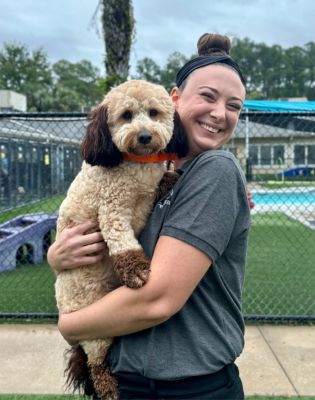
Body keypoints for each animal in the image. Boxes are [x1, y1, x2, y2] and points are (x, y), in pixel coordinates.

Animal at [54, 80, 188, 400]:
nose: (144, 135)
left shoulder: (146, 197)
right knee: (95, 363)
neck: (135, 164)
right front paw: (136, 271)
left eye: (153, 113)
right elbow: (123, 244)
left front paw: (170, 178)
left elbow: (158, 185)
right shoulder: (112, 210)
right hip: (95, 330)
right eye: (126, 115)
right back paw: (107, 387)